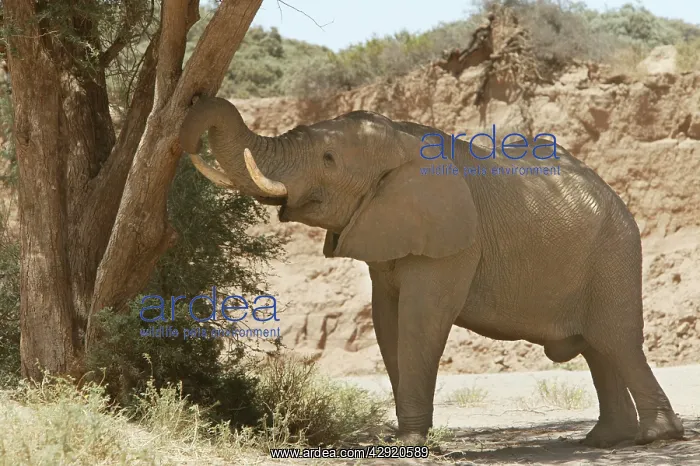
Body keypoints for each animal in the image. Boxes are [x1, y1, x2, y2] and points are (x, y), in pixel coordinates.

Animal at [178, 95, 685, 448]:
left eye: (328, 159)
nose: (192, 99)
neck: (403, 141)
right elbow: (388, 322)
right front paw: (400, 440)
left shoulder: (452, 244)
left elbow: (421, 321)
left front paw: (407, 444)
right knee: (599, 350)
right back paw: (604, 441)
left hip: (614, 255)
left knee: (616, 342)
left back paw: (654, 437)